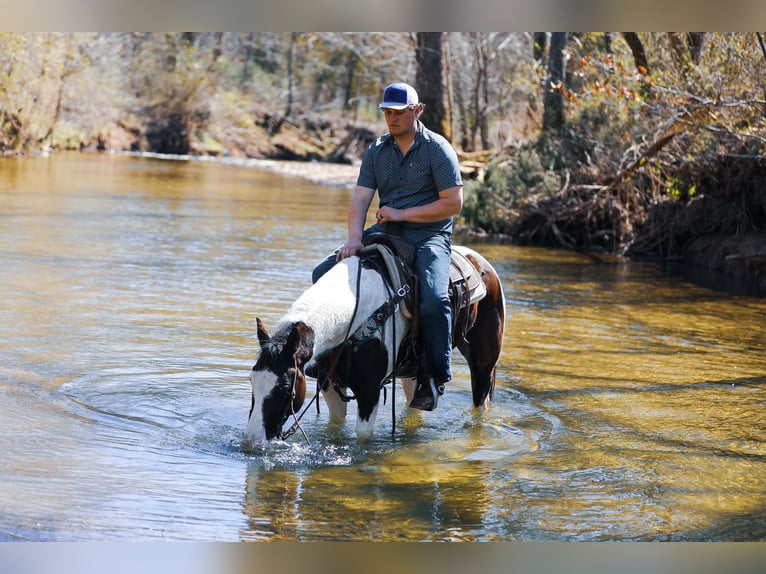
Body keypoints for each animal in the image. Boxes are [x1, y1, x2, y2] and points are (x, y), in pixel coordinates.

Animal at [246, 241, 508, 448]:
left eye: (285, 390)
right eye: (251, 381)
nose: (251, 442)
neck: (356, 315)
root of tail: (482, 264)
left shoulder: (369, 391)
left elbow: (362, 438)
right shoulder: (330, 385)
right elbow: (335, 427)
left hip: (484, 364)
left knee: (480, 406)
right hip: (412, 373)